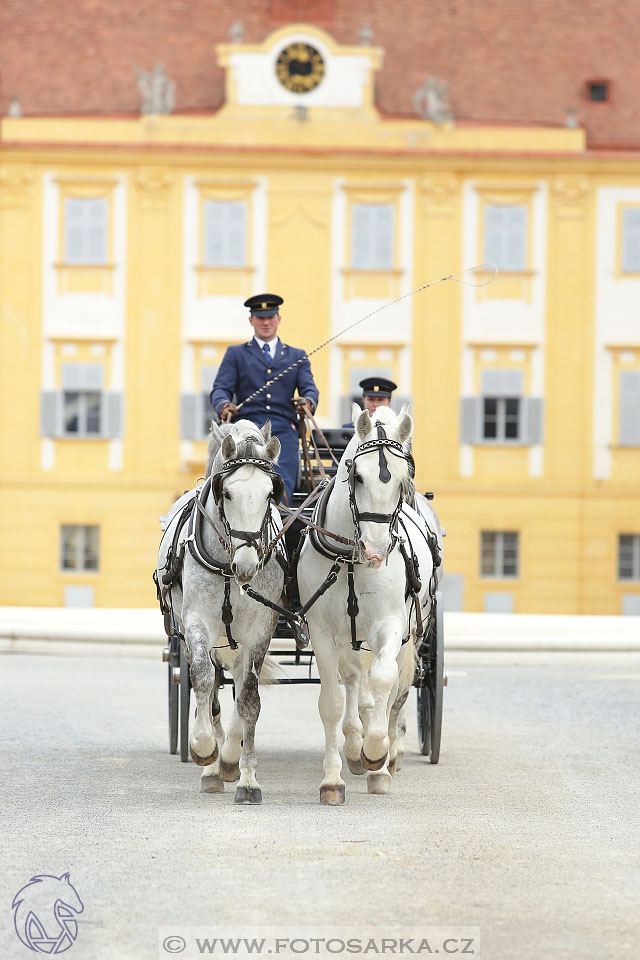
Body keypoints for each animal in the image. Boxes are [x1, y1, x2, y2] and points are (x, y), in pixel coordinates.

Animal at [155, 420, 284, 804]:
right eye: (225, 493)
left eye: (270, 494)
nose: (248, 564)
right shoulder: (197, 623)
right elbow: (201, 679)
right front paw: (204, 749)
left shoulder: (260, 629)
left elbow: (249, 697)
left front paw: (245, 777)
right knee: (209, 689)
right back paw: (211, 766)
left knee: (237, 684)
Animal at [298, 404, 442, 804]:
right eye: (357, 477)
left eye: (402, 481)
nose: (376, 551)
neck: (350, 559)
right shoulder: (323, 633)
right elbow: (333, 701)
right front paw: (334, 777)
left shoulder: (390, 628)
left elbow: (383, 682)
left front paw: (376, 752)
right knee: (353, 682)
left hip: (409, 635)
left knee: (394, 691)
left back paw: (387, 758)